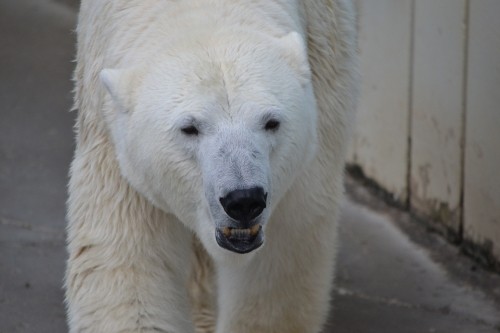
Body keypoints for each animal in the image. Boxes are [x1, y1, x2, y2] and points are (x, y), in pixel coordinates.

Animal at [64, 0, 358, 332]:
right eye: (189, 128)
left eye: (271, 122)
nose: (243, 200)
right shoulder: (114, 146)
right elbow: (127, 264)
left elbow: (282, 260)